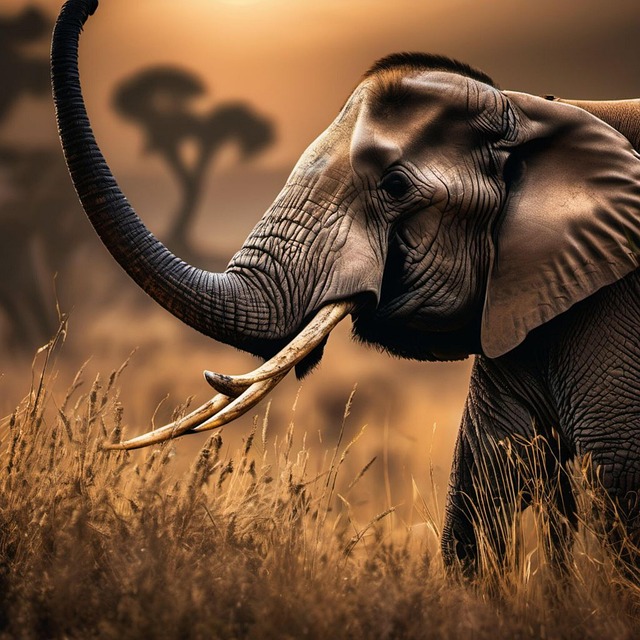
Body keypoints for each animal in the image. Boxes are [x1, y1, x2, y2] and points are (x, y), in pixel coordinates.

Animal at [52, 0, 640, 573]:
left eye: (396, 186)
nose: (87, 5)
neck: (532, 111)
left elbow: (618, 473)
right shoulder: (521, 292)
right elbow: (485, 477)